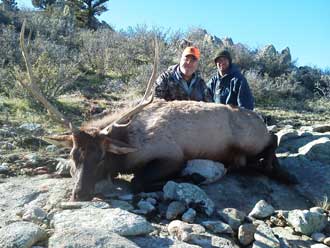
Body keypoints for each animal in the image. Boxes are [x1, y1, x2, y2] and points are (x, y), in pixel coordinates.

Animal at [19, 20, 296, 201]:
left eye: (101, 157)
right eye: (73, 156)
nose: (80, 194)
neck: (127, 140)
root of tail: (258, 120)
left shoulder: (171, 154)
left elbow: (138, 181)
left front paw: (191, 178)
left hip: (250, 138)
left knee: (273, 138)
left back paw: (278, 171)